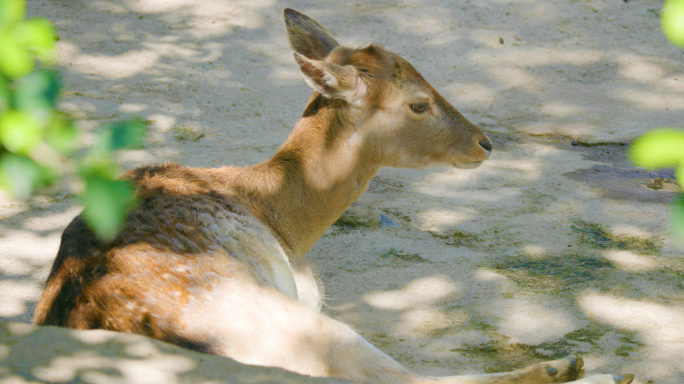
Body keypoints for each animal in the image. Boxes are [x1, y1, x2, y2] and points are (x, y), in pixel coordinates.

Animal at [30, 8, 632, 384]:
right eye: (418, 103)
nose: (484, 143)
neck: (278, 214)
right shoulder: (305, 292)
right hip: (300, 327)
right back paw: (588, 368)